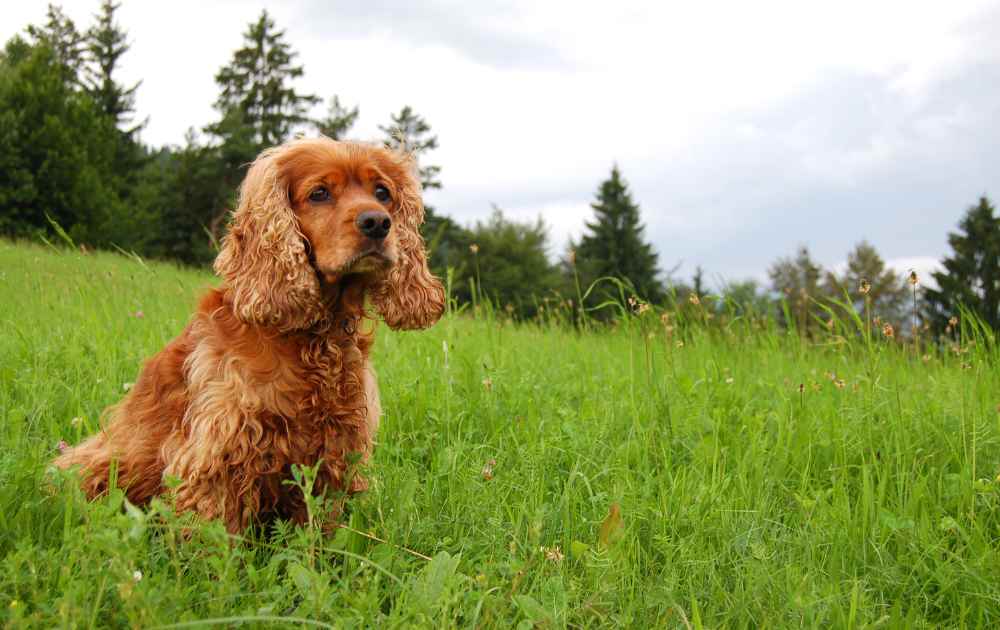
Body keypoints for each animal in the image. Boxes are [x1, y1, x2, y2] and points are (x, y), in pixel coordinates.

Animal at [54, 137, 444, 532]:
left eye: (382, 192)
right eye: (319, 193)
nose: (378, 222)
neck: (315, 336)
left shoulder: (336, 450)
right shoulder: (222, 449)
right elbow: (213, 534)